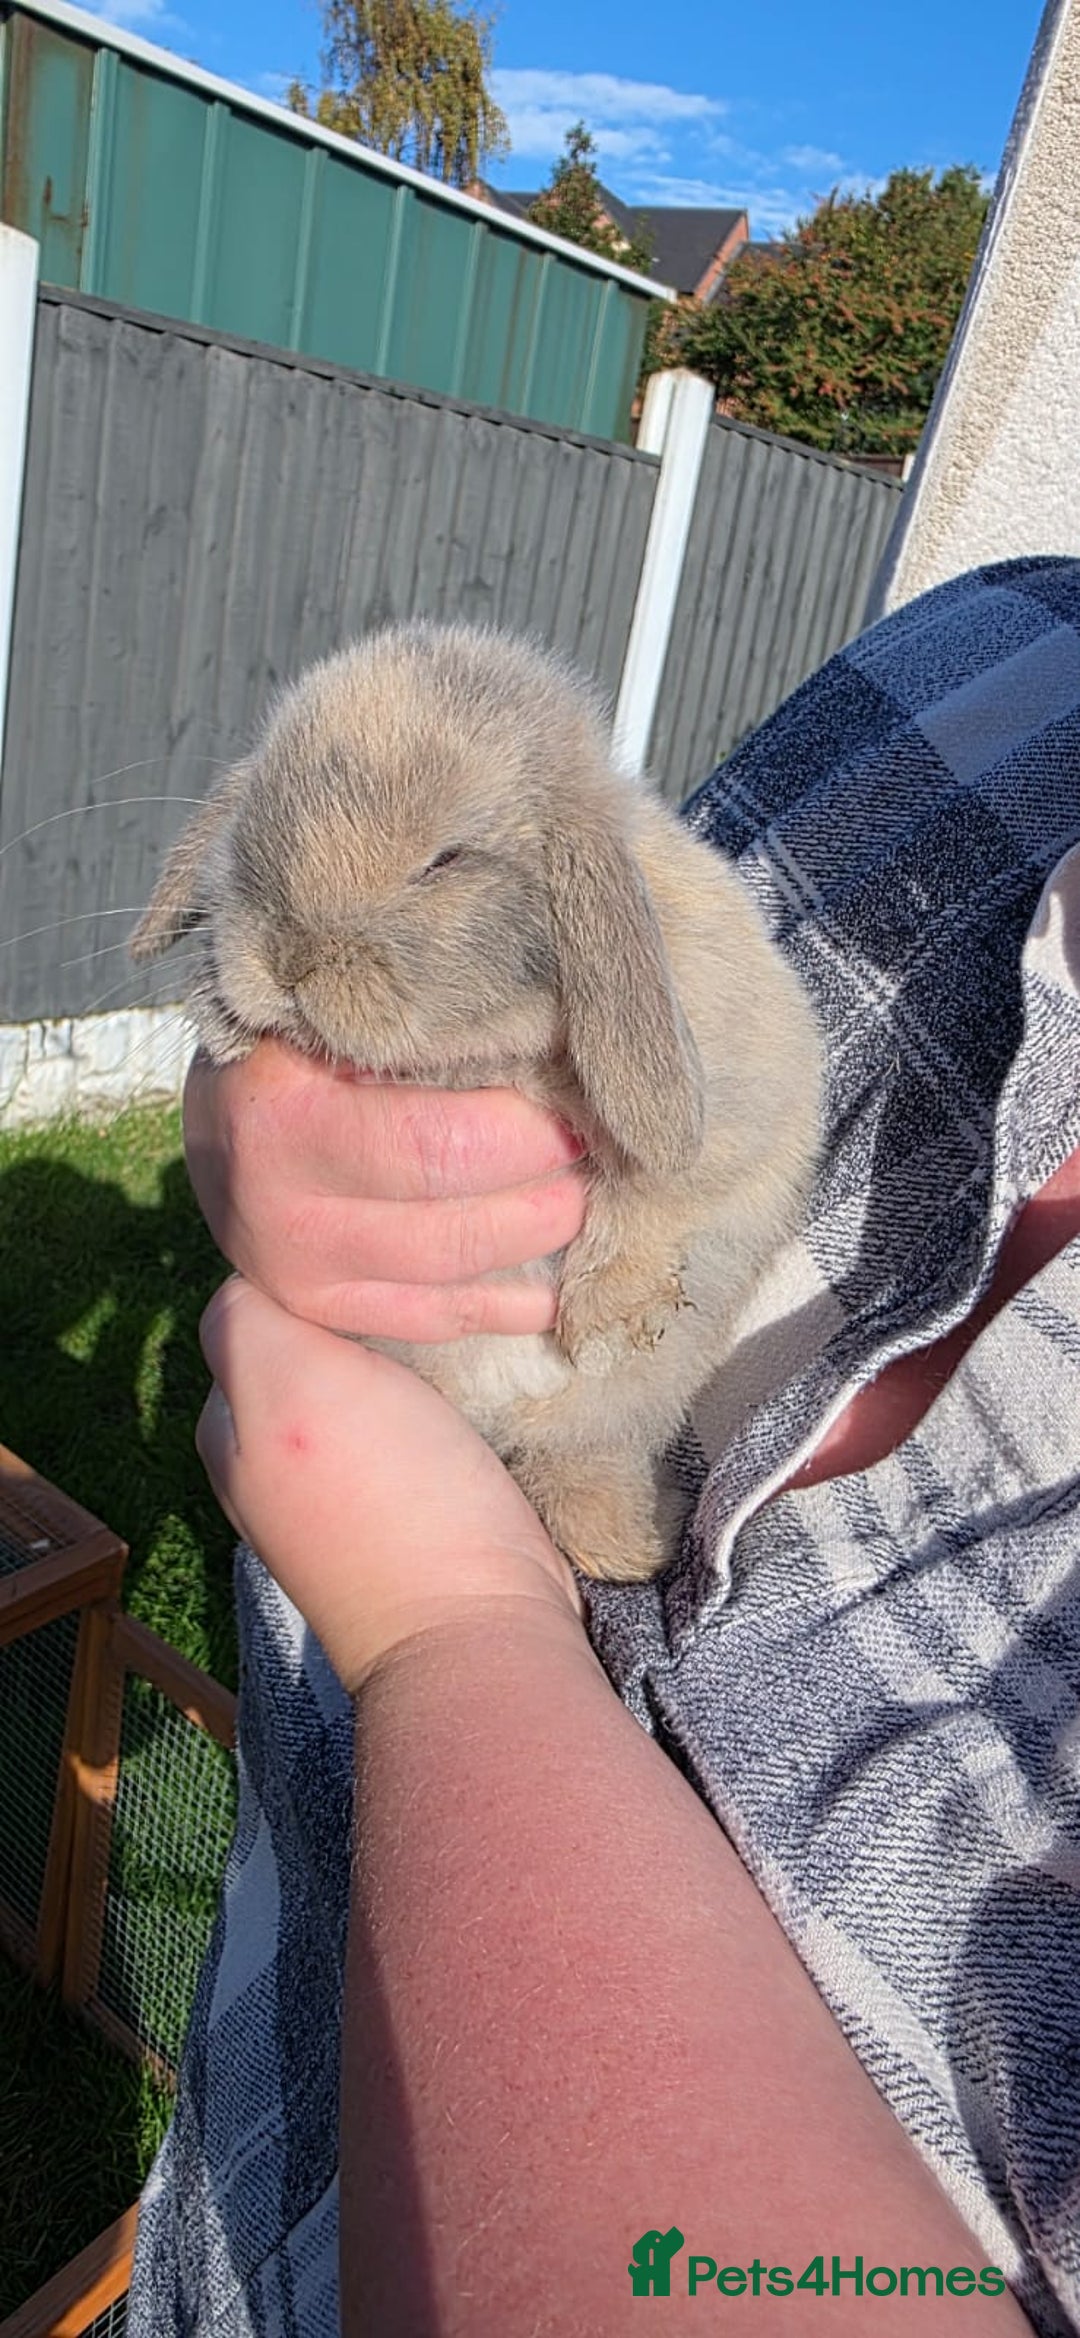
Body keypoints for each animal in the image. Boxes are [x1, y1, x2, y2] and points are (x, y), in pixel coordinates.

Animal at [132, 621, 822, 1582]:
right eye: (262, 818)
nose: (289, 961)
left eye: (446, 860)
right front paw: (226, 1019)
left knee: (582, 1456)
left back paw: (631, 1545)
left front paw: (606, 1321)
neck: (484, 1049)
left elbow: (661, 1190)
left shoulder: (745, 1110)